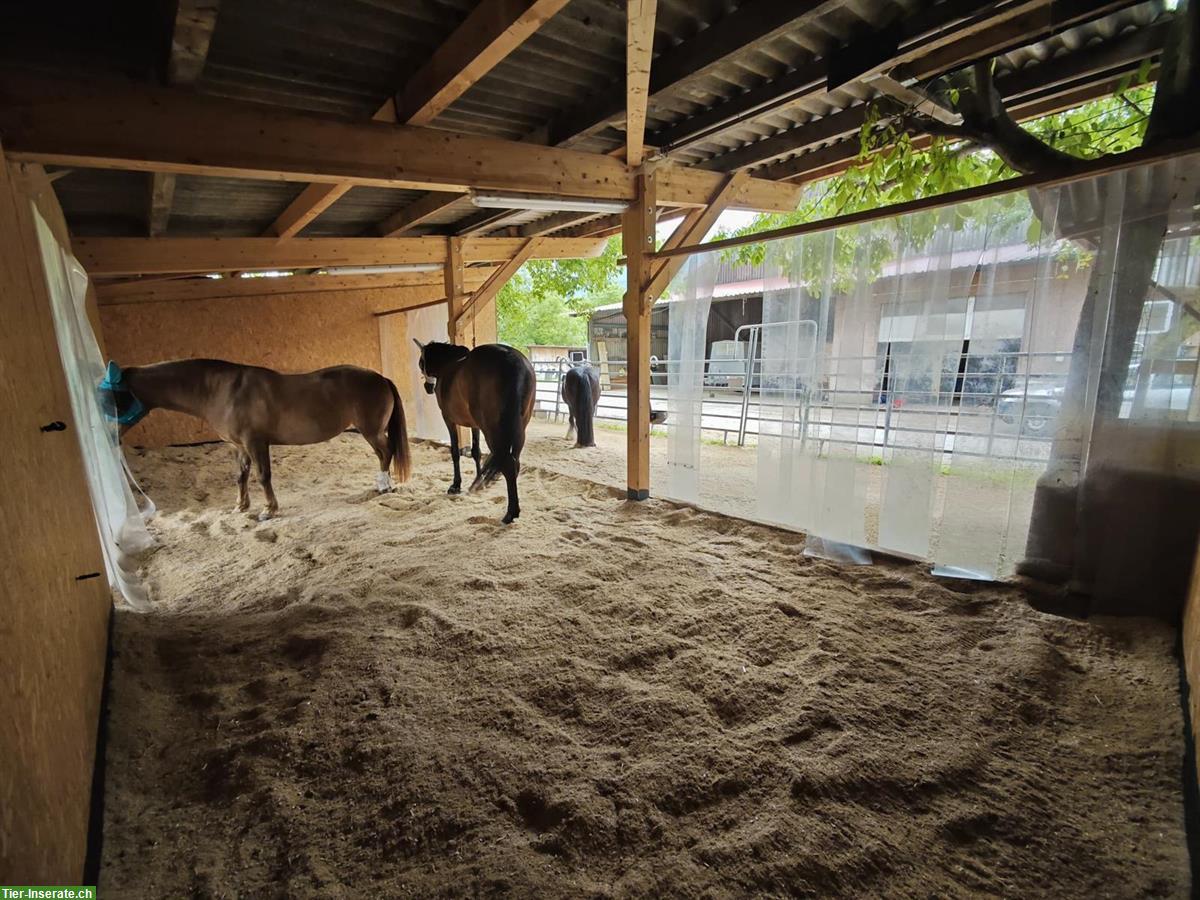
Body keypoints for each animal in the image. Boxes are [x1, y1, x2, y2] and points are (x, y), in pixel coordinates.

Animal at [96, 355, 412, 518]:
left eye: (109, 398)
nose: (108, 436)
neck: (222, 390)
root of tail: (381, 377)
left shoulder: (255, 442)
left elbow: (262, 476)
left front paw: (268, 511)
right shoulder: (238, 446)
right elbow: (241, 476)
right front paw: (240, 506)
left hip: (371, 431)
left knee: (386, 452)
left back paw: (384, 486)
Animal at [412, 338, 535, 525]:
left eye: (421, 362)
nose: (428, 387)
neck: (448, 365)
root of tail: (512, 360)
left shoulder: (449, 420)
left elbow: (455, 451)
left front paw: (456, 485)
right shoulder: (474, 424)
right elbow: (476, 451)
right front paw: (479, 481)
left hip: (492, 429)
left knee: (507, 463)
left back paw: (510, 514)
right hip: (519, 428)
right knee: (515, 462)